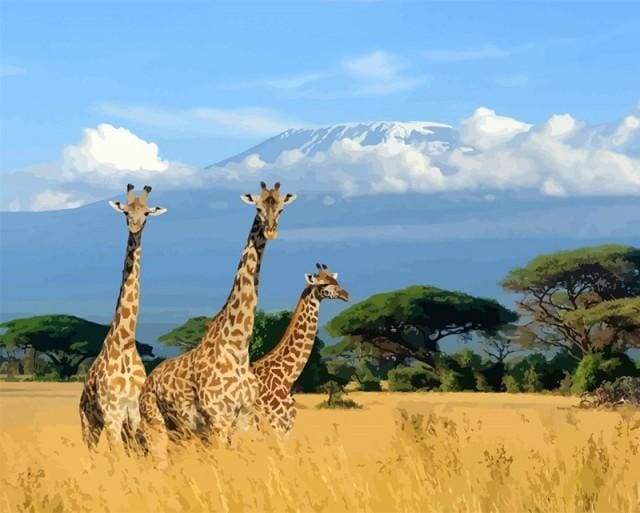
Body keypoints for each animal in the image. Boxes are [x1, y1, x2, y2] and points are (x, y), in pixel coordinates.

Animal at [79, 184, 167, 450]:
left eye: (146, 213)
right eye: (126, 211)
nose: (134, 226)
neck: (126, 342)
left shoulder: (134, 414)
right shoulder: (112, 415)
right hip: (88, 423)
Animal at [137, 182, 296, 463]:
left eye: (281, 209)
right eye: (258, 207)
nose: (270, 231)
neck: (238, 346)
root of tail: (149, 381)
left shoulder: (243, 420)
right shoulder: (217, 420)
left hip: (182, 431)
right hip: (156, 423)